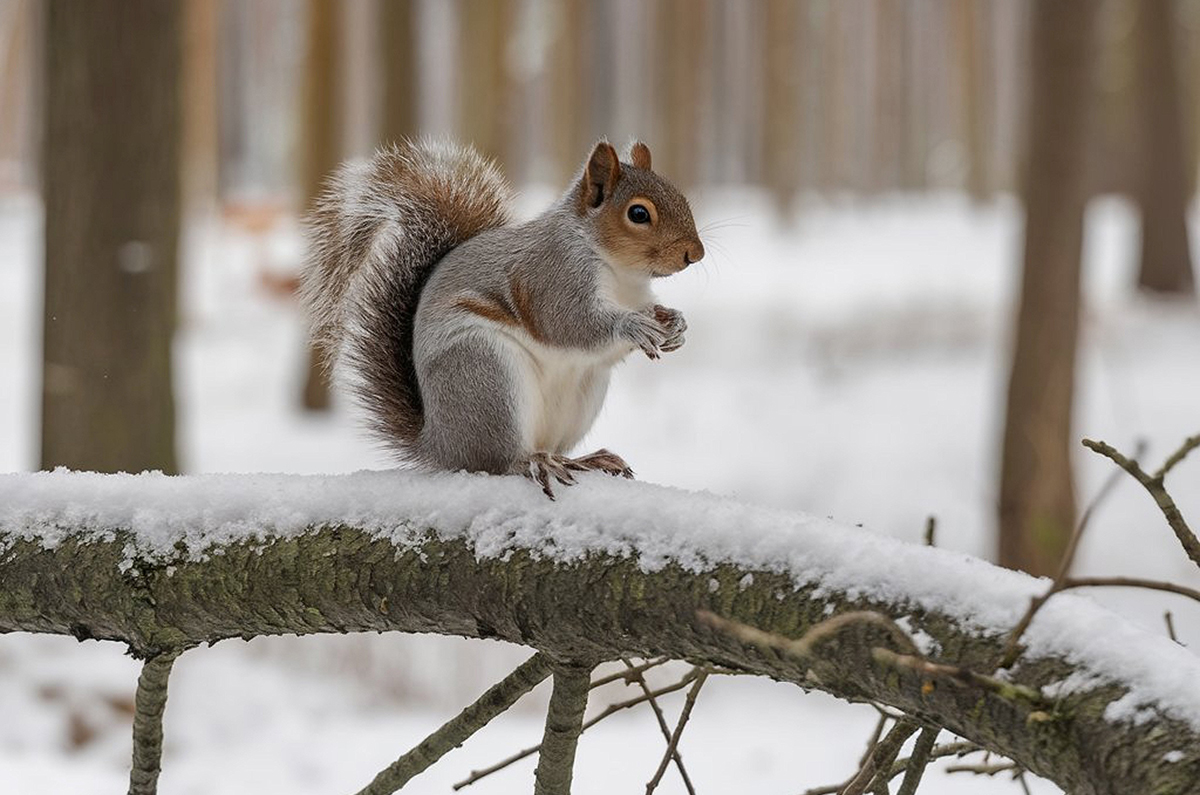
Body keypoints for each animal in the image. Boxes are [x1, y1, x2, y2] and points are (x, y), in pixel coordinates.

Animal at [300, 138, 704, 498]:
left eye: (680, 197)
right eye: (639, 214)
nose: (695, 254)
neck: (622, 274)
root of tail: (440, 445)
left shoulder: (637, 296)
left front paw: (676, 326)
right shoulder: (553, 277)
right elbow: (570, 324)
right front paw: (632, 326)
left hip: (583, 391)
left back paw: (580, 460)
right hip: (484, 376)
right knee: (495, 462)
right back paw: (529, 463)